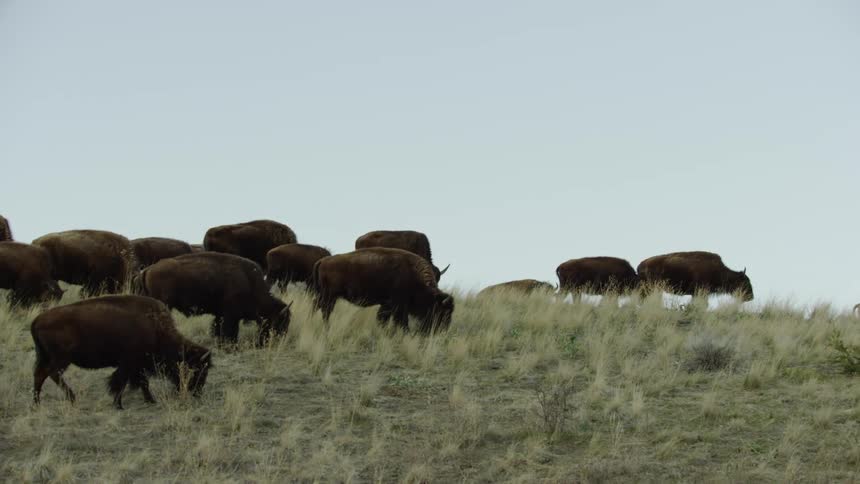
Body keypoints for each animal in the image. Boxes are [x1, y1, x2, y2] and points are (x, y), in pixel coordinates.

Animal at [31, 295, 212, 409]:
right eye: (196, 369)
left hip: (46, 357)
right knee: (51, 374)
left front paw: (150, 400)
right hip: (62, 359)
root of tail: (37, 320)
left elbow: (142, 382)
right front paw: (119, 405)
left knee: (39, 375)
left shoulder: (137, 365)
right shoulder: (129, 364)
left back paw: (37, 404)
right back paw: (72, 398)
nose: (197, 392)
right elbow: (122, 382)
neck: (156, 329)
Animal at [141, 252, 291, 347]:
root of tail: (149, 269)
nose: (278, 341)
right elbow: (229, 331)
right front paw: (231, 346)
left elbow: (217, 329)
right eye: (279, 322)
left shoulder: (220, 314)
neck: (250, 282)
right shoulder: (231, 315)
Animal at [312, 247, 455, 333]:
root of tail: (323, 261)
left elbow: (383, 319)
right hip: (330, 295)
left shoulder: (388, 305)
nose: (442, 331)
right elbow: (400, 322)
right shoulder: (397, 305)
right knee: (325, 310)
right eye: (442, 312)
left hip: (325, 295)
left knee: (317, 306)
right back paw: (326, 328)